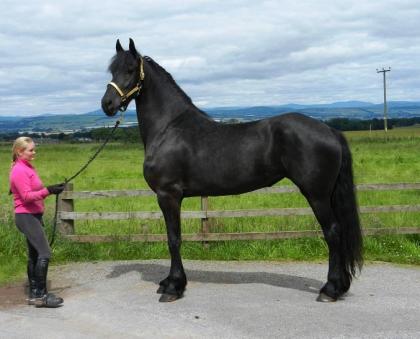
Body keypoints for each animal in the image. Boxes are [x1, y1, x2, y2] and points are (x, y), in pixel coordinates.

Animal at [100, 39, 362, 302]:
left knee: (333, 232)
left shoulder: (168, 195)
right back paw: (340, 286)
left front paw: (174, 286)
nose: (107, 104)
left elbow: (174, 239)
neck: (169, 128)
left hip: (317, 195)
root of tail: (331, 131)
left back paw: (330, 289)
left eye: (130, 69)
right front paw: (169, 282)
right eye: (112, 70)